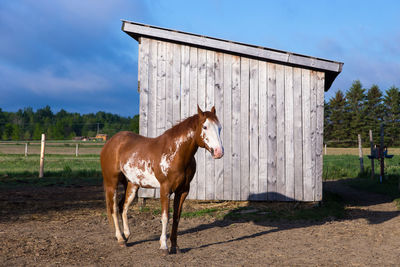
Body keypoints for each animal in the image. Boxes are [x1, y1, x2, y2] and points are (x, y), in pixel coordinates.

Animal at [100, 105, 223, 255]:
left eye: (219, 127)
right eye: (205, 127)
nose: (219, 152)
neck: (175, 152)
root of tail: (111, 142)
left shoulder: (183, 191)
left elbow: (176, 217)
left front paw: (175, 247)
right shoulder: (165, 189)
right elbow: (165, 217)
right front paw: (163, 246)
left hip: (132, 184)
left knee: (123, 206)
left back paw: (126, 235)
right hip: (112, 183)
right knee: (113, 208)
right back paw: (120, 238)